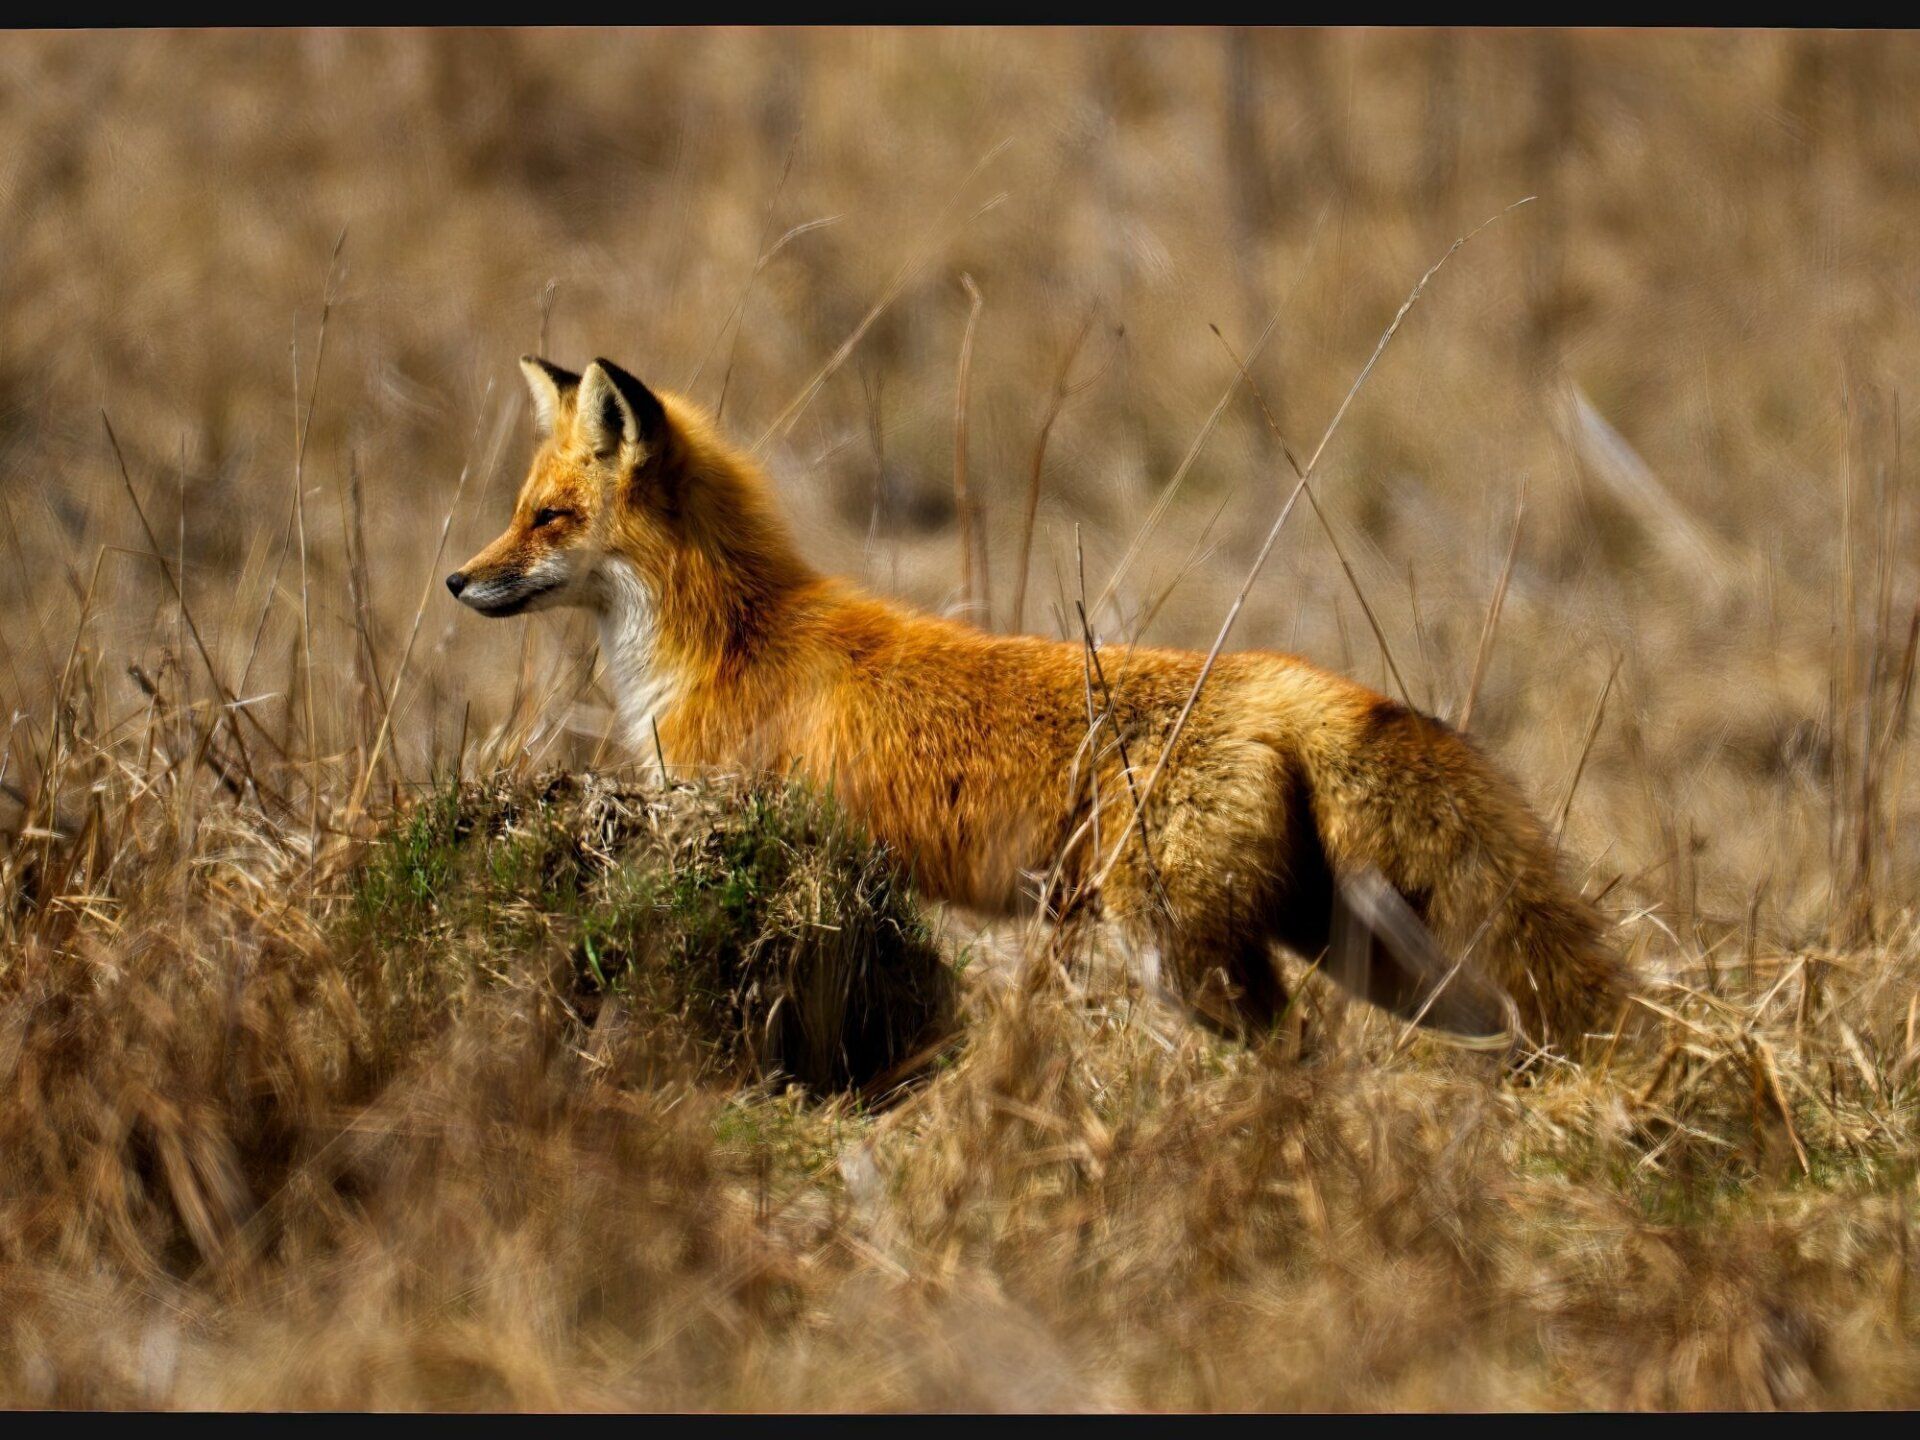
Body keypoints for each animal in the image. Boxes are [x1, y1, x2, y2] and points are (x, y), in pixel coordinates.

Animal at [448, 355, 1628, 1048]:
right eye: (520, 510)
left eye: (549, 518)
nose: (457, 581)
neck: (728, 635)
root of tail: (1283, 681)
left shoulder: (741, 819)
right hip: (1379, 956)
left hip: (1178, 952)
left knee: (1297, 1053)